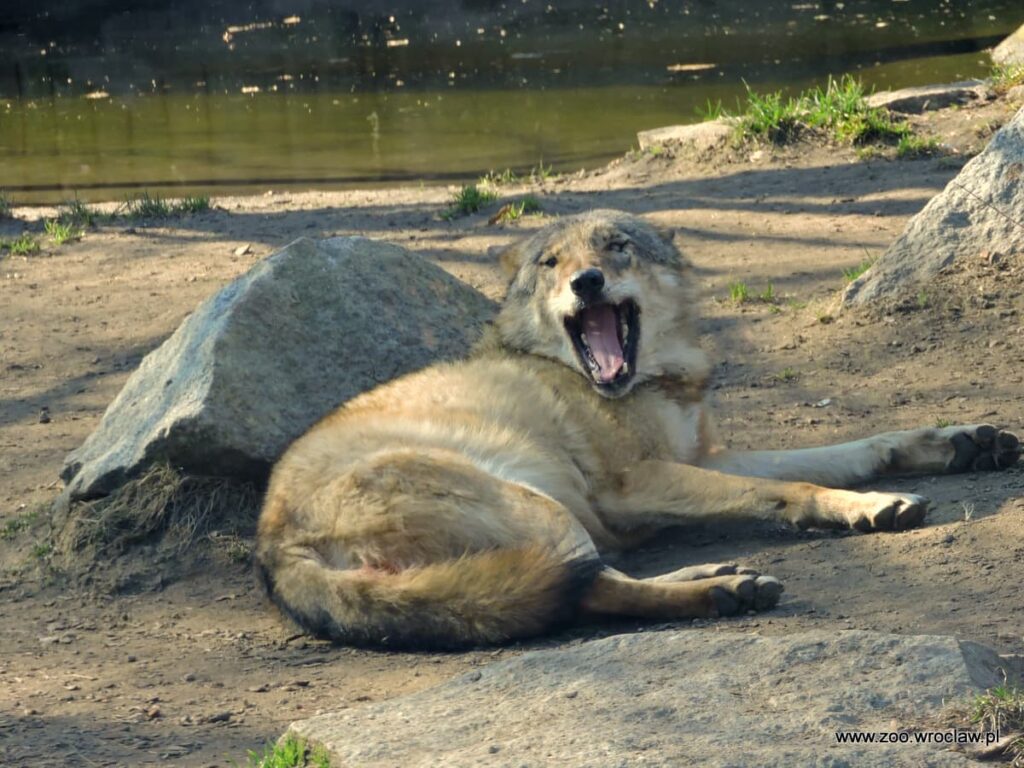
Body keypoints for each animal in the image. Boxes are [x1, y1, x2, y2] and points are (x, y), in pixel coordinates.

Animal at [253, 208, 1015, 651]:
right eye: (551, 265)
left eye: (617, 248)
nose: (586, 282)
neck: (646, 381)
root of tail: (273, 549)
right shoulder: (636, 483)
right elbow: (793, 488)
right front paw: (863, 509)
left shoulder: (707, 454)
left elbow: (846, 450)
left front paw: (957, 442)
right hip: (543, 507)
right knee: (587, 588)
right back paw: (720, 593)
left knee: (591, 578)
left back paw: (717, 574)